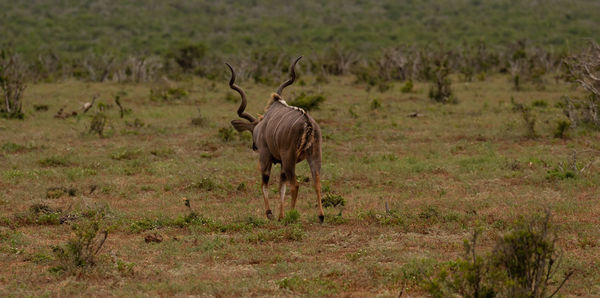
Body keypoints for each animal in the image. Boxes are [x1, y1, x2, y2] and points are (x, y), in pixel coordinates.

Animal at [227, 57, 326, 222]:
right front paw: (280, 216)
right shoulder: (281, 163)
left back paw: (292, 215)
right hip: (314, 155)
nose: (254, 146)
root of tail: (308, 124)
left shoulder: (265, 156)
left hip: (289, 158)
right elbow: (281, 187)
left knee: (295, 185)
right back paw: (320, 216)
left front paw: (270, 213)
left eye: (252, 132)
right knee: (316, 182)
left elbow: (265, 183)